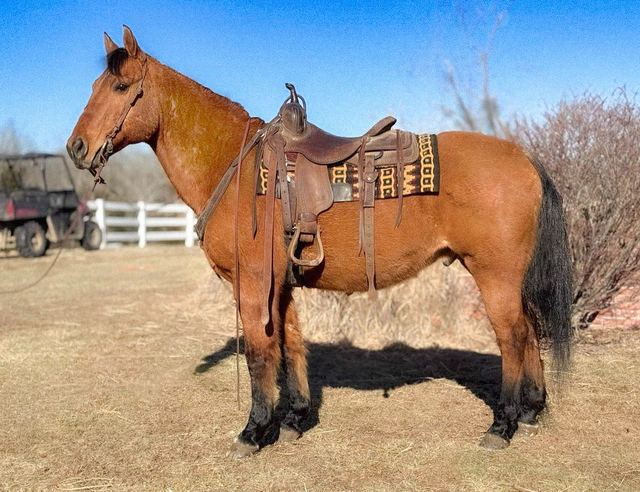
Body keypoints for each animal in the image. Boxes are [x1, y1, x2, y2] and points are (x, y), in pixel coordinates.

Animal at [67, 27, 572, 457]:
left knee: (512, 338)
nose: (76, 147)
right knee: (530, 332)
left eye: (120, 87)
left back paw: (502, 425)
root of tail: (524, 158)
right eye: (92, 84)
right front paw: (293, 420)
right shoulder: (282, 285)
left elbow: (259, 352)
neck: (237, 166)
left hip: (494, 276)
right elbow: (290, 345)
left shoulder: (253, 285)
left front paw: (254, 431)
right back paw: (531, 411)